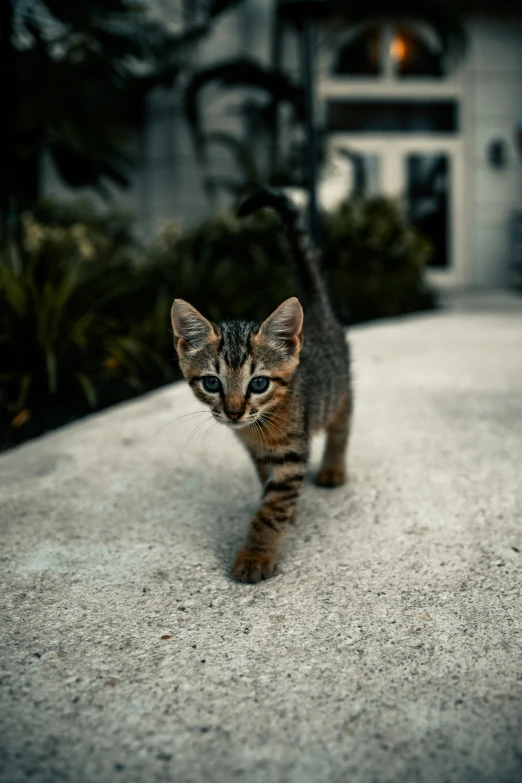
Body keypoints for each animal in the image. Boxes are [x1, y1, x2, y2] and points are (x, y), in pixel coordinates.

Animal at [171, 188, 350, 580]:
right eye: (212, 383)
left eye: (258, 384)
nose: (235, 412)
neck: (259, 426)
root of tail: (317, 308)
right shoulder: (257, 453)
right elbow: (268, 490)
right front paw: (284, 513)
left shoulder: (293, 453)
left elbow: (270, 511)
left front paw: (256, 555)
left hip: (341, 392)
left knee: (342, 427)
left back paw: (333, 467)